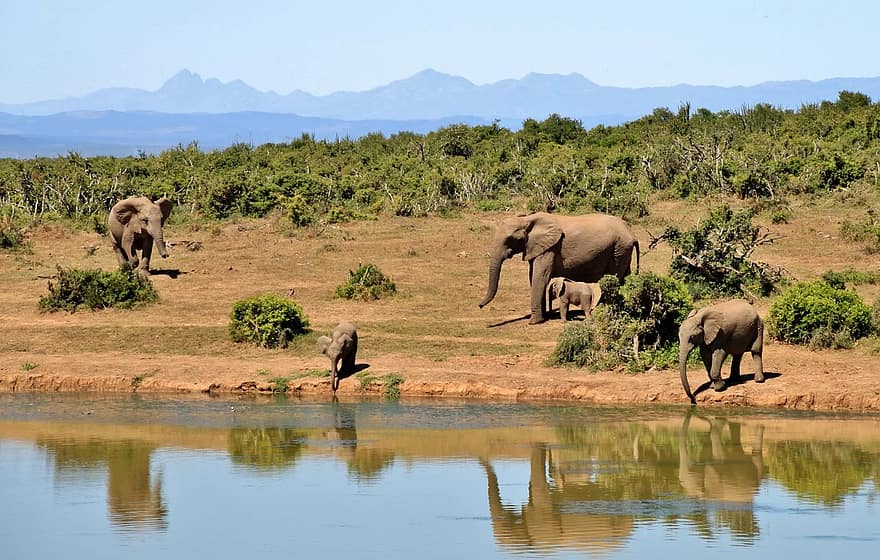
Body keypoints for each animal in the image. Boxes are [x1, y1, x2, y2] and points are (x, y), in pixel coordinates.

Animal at [482, 211, 640, 326]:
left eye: (510, 239)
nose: (479, 306)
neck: (527, 219)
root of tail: (632, 233)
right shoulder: (537, 247)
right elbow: (534, 277)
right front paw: (543, 317)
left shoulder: (550, 248)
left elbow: (540, 276)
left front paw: (534, 322)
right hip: (622, 251)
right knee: (624, 278)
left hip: (618, 249)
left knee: (613, 279)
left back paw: (601, 310)